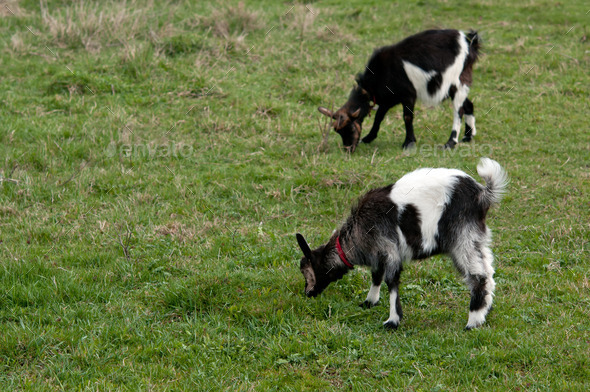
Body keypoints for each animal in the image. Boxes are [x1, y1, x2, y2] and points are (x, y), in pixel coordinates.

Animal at [296, 158, 508, 330]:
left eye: (308, 270)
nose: (308, 293)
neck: (357, 232)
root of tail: (481, 194)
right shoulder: (378, 252)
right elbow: (376, 275)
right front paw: (369, 301)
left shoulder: (389, 247)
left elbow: (391, 282)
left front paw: (392, 321)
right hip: (477, 238)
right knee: (489, 271)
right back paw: (485, 311)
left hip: (462, 237)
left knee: (478, 276)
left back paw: (473, 321)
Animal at [322, 28, 484, 152]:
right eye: (337, 131)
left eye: (349, 128)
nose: (348, 149)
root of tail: (469, 43)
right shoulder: (388, 99)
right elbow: (378, 117)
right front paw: (368, 138)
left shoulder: (408, 95)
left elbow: (407, 117)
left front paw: (409, 143)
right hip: (457, 86)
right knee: (468, 104)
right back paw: (468, 136)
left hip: (457, 80)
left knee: (458, 110)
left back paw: (450, 142)